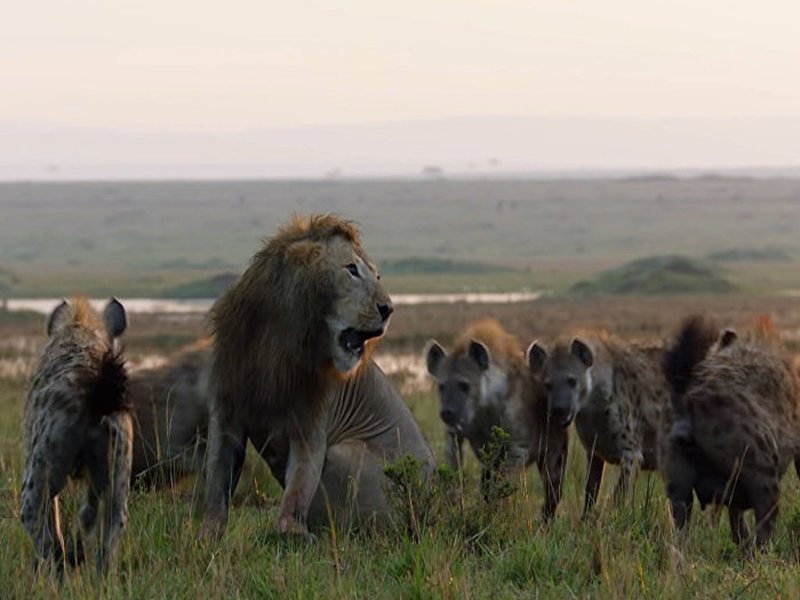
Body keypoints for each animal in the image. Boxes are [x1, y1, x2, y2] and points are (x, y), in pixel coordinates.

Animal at [203, 212, 434, 540]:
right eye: (352, 270)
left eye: (377, 276)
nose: (388, 308)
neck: (277, 342)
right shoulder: (226, 411)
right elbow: (216, 483)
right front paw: (205, 536)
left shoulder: (311, 426)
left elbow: (297, 491)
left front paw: (295, 533)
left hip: (345, 453)